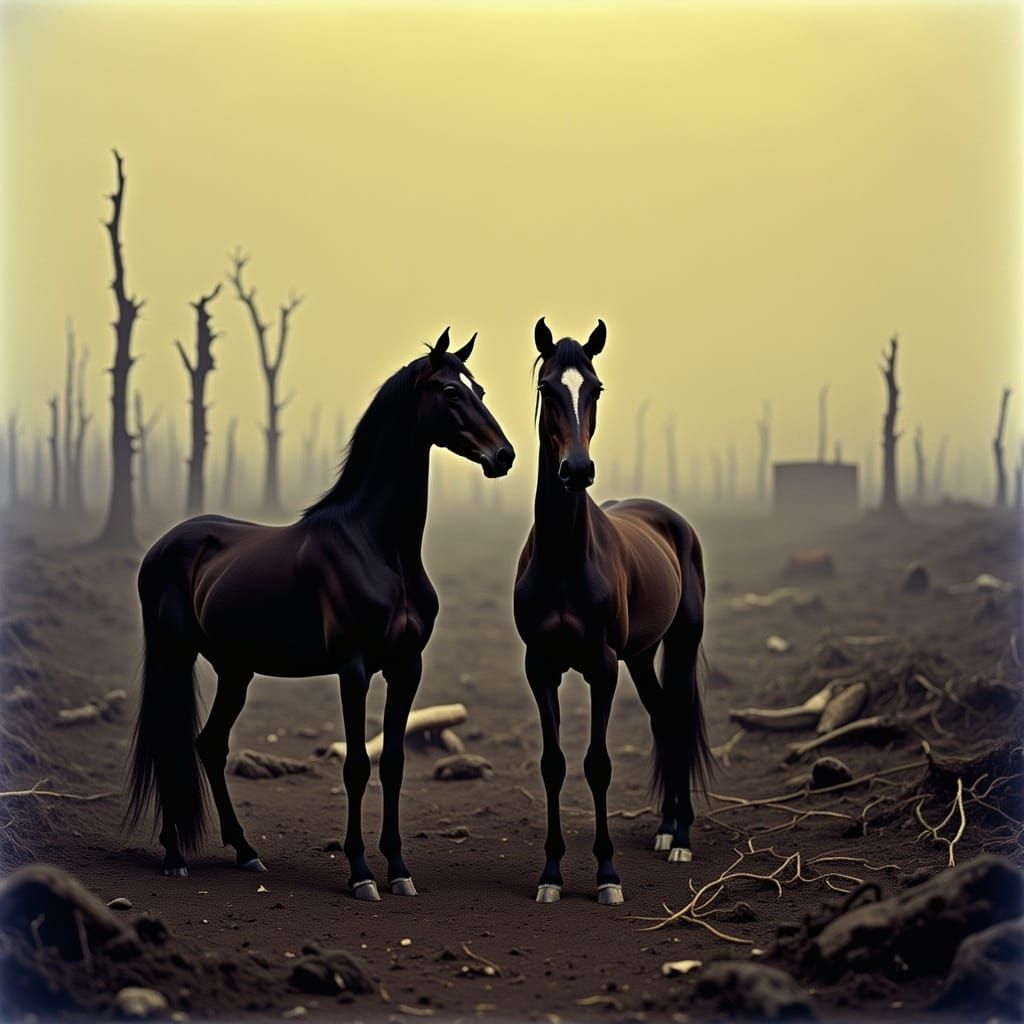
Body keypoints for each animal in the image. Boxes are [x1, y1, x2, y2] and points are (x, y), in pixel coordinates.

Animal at [126, 328, 515, 901]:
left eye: (479, 389)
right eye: (449, 391)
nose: (503, 455)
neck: (379, 547)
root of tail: (164, 545)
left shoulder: (406, 668)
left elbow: (393, 763)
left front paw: (399, 869)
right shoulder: (353, 669)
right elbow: (355, 766)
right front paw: (360, 873)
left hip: (235, 669)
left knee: (209, 744)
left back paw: (246, 851)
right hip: (175, 656)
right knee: (172, 744)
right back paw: (175, 856)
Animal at [513, 318, 713, 906]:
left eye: (595, 388)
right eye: (547, 388)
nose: (576, 468)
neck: (564, 558)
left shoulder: (601, 667)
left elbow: (597, 765)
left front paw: (607, 874)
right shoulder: (541, 667)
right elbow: (553, 764)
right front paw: (551, 874)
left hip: (681, 641)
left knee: (678, 717)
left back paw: (681, 839)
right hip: (642, 656)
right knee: (663, 717)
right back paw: (666, 828)